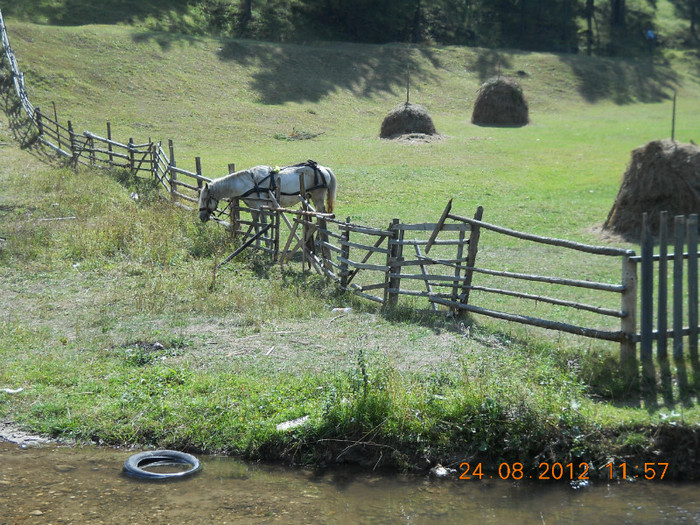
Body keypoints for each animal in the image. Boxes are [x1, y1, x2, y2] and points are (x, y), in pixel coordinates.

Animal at [198, 158, 338, 219]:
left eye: (205, 199)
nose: (201, 217)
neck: (250, 182)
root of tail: (323, 169)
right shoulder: (253, 209)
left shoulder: (260, 207)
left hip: (318, 196)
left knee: (321, 213)